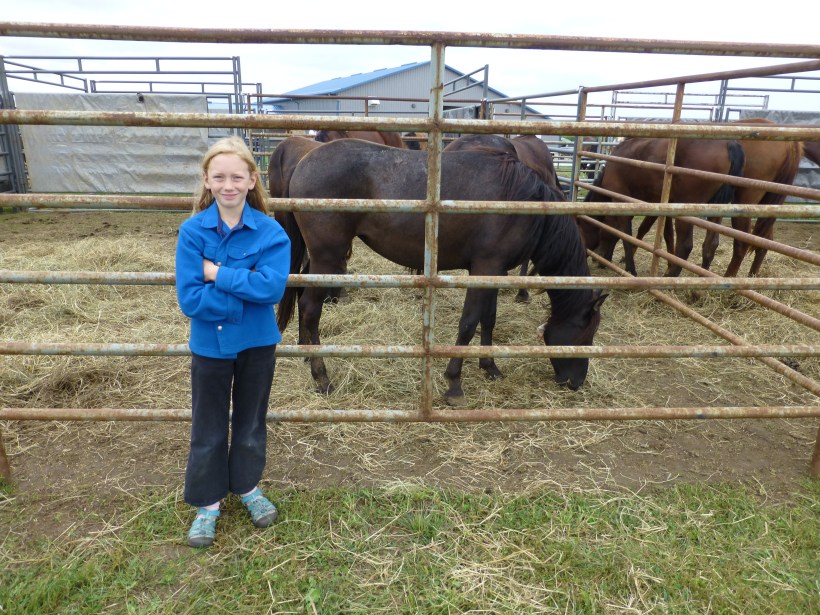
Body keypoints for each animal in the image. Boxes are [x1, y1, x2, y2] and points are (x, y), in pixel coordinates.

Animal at [277, 139, 607, 403]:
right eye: (585, 334)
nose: (576, 383)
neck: (522, 202)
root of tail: (305, 161)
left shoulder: (494, 269)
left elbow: (489, 319)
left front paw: (489, 366)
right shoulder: (485, 267)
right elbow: (469, 323)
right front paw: (454, 384)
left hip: (321, 258)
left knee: (302, 296)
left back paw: (306, 353)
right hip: (328, 256)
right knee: (310, 308)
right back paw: (321, 377)